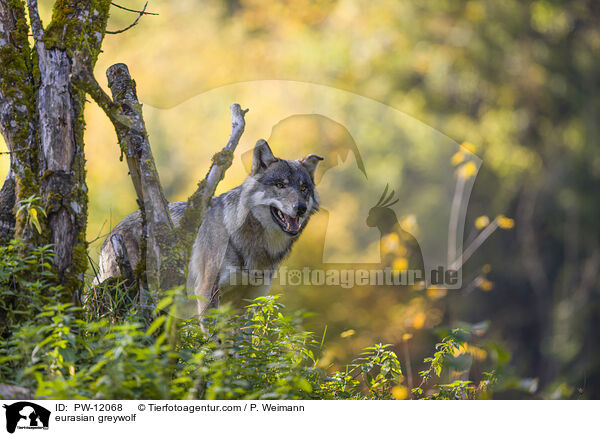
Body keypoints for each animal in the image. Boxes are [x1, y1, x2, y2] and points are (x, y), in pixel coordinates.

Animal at [97, 140, 324, 316]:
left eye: (304, 188)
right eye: (280, 185)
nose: (300, 208)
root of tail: (113, 233)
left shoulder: (248, 301)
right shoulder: (207, 291)